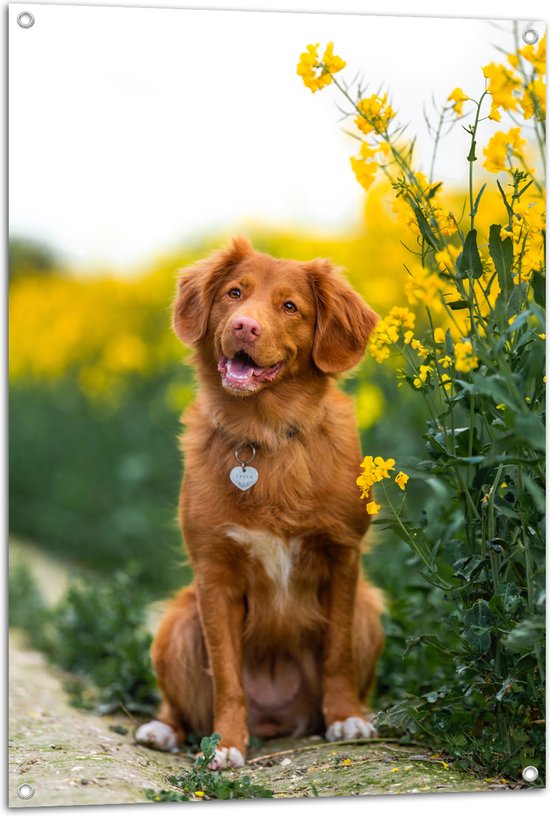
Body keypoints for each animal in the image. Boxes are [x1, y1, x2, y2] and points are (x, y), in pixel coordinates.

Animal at [136, 234, 386, 764]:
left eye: (290, 307)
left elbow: (337, 654)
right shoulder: (214, 576)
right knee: (181, 704)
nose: (244, 326)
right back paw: (164, 730)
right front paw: (226, 745)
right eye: (234, 293)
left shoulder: (343, 558)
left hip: (370, 610)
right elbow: (227, 677)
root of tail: (276, 720)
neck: (264, 435)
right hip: (178, 621)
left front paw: (346, 717)